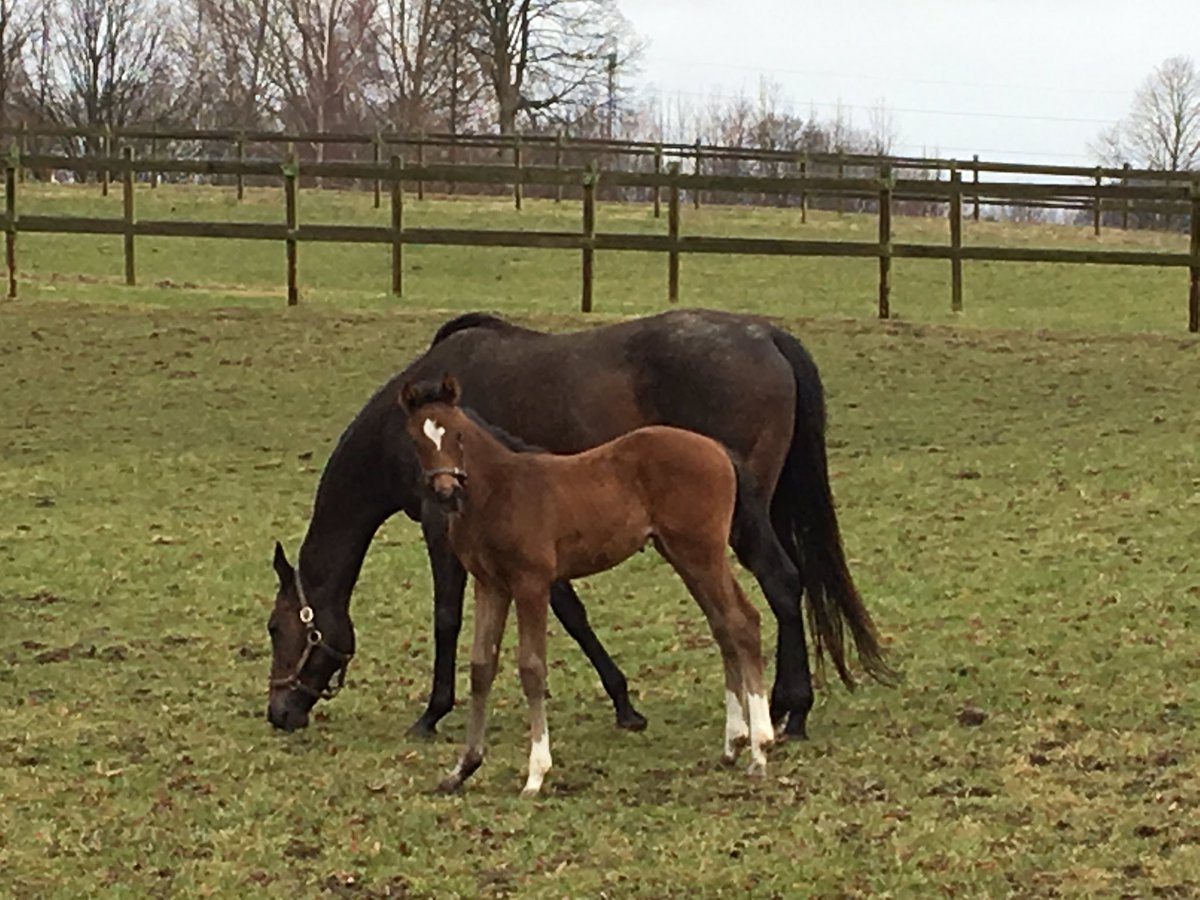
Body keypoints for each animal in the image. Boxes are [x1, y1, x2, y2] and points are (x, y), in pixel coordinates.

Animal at [265, 309, 894, 738]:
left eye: (277, 629)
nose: (278, 712)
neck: (409, 431)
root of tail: (767, 337)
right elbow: (570, 611)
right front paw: (624, 703)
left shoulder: (442, 531)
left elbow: (446, 618)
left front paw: (431, 713)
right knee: (789, 584)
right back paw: (784, 705)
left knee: (782, 583)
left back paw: (793, 709)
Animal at [401, 374, 784, 794]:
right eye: (416, 440)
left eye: (457, 434)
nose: (446, 491)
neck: (500, 491)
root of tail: (717, 448)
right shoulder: (490, 585)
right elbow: (481, 667)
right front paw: (463, 768)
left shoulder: (531, 582)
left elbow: (531, 668)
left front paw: (536, 773)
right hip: (684, 555)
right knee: (724, 626)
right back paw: (734, 742)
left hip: (702, 551)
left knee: (743, 622)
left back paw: (760, 750)